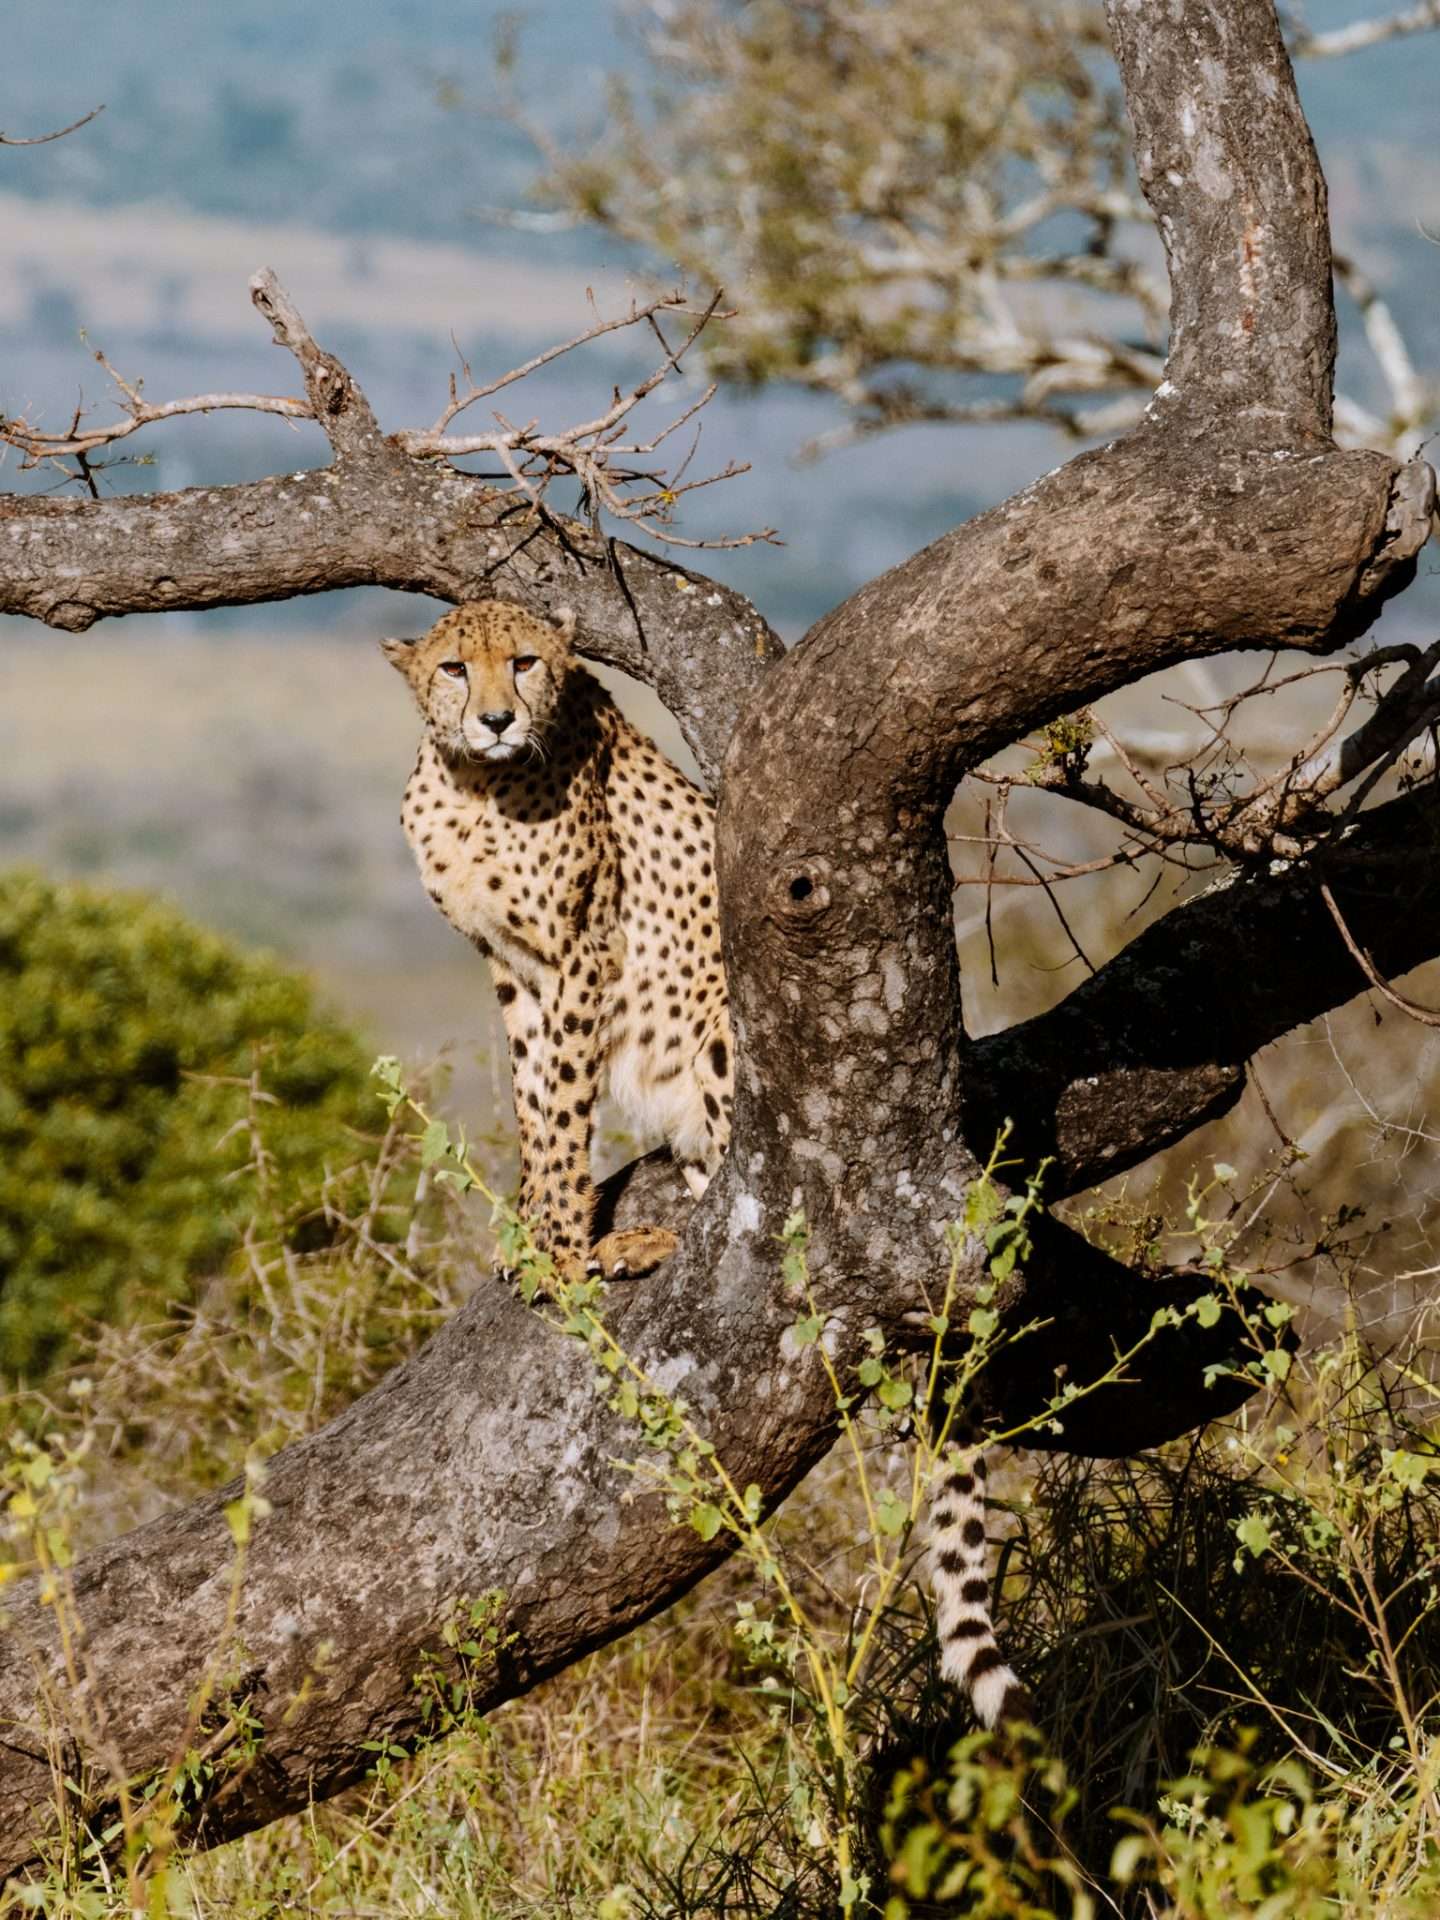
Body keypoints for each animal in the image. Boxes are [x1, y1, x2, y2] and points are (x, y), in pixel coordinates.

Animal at [385, 598, 1026, 1731]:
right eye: (457, 669)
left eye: (528, 663)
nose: (499, 719)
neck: (472, 785)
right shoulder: (513, 971)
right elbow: (533, 1103)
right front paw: (533, 1229)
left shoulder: (581, 955)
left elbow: (562, 1105)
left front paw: (562, 1249)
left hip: (730, 1029)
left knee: (755, 1189)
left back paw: (638, 1245)